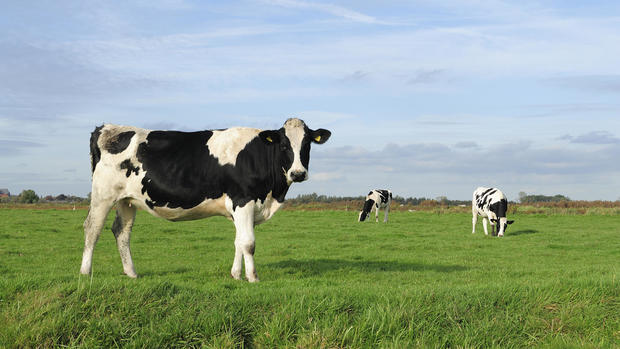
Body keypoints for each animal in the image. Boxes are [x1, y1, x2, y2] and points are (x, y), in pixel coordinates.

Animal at [80, 118, 332, 282]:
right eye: (284, 145)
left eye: (307, 144)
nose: (298, 173)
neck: (272, 194)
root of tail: (106, 128)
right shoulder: (243, 200)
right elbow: (248, 243)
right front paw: (253, 278)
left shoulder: (239, 208)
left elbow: (238, 242)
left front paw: (236, 275)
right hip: (103, 195)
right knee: (92, 228)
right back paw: (85, 272)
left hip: (127, 200)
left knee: (121, 232)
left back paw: (131, 273)